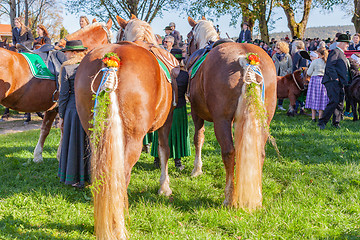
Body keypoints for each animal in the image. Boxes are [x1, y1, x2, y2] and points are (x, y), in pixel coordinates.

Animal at [0, 19, 112, 162]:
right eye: (110, 39)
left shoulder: (53, 106)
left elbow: (45, 128)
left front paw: (38, 156)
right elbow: (63, 127)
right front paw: (60, 154)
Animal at [75, 16, 177, 238]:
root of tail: (112, 59)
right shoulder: (166, 121)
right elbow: (164, 151)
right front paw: (164, 187)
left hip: (93, 135)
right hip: (131, 140)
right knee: (121, 176)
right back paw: (117, 223)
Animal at [187, 16, 278, 209]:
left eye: (189, 36)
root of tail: (246, 59)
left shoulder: (196, 112)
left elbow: (198, 138)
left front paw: (197, 169)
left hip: (221, 121)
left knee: (229, 152)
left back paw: (229, 197)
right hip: (264, 119)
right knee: (260, 153)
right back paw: (257, 196)